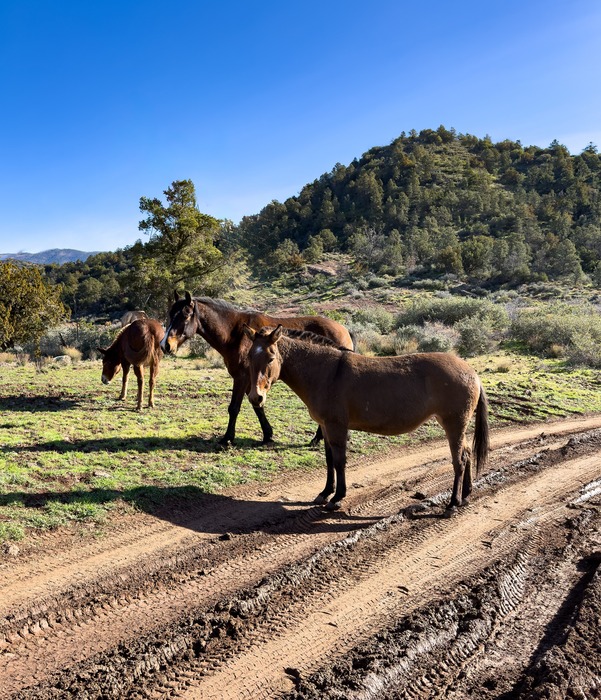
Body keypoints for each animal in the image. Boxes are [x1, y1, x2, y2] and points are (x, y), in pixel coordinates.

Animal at [160, 292, 354, 446]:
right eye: (171, 314)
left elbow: (234, 408)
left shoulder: (242, 378)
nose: (165, 345)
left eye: (185, 316)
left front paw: (227, 438)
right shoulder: (251, 381)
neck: (235, 334)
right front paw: (268, 435)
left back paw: (318, 438)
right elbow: (257, 405)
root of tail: (344, 330)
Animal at [244, 325, 490, 513]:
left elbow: (339, 461)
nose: (256, 397)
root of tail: (473, 373)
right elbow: (329, 460)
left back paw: (453, 503)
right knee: (467, 453)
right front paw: (325, 493)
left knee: (459, 460)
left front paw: (337, 498)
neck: (326, 373)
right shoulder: (325, 426)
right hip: (457, 425)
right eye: (248, 357)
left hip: (454, 424)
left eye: (270, 358)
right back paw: (466, 494)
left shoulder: (336, 426)